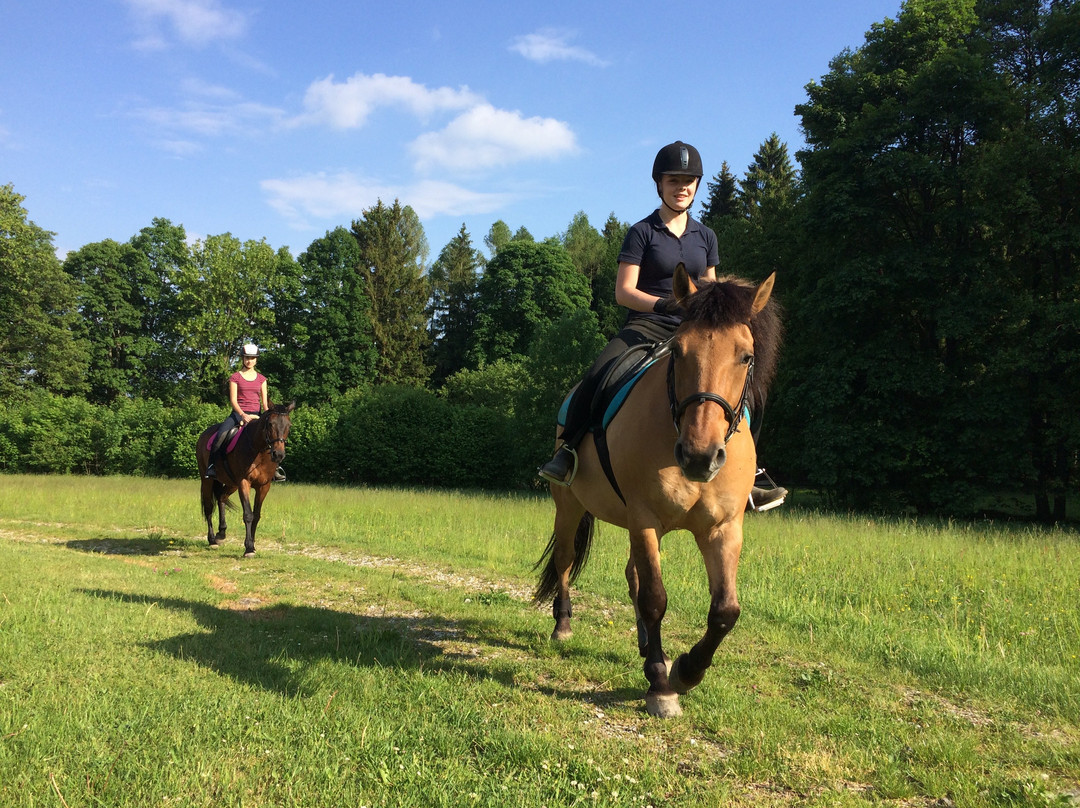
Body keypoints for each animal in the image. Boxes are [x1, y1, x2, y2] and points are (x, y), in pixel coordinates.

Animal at [195, 401, 293, 557]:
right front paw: (248, 548)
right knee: (209, 507)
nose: (278, 454)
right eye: (270, 424)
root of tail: (205, 433)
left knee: (222, 498)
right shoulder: (244, 483)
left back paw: (221, 533)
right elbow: (248, 514)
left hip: (231, 483)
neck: (259, 451)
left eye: (289, 425)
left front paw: (252, 544)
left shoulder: (264, 486)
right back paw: (212, 540)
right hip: (207, 481)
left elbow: (256, 515)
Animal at [535, 267, 781, 717]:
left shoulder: (723, 529)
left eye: (746, 356)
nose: (700, 456)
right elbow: (655, 598)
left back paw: (649, 645)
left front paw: (685, 670)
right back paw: (563, 625)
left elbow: (725, 610)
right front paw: (661, 687)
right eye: (679, 352)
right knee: (565, 561)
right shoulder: (644, 518)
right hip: (570, 506)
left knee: (631, 573)